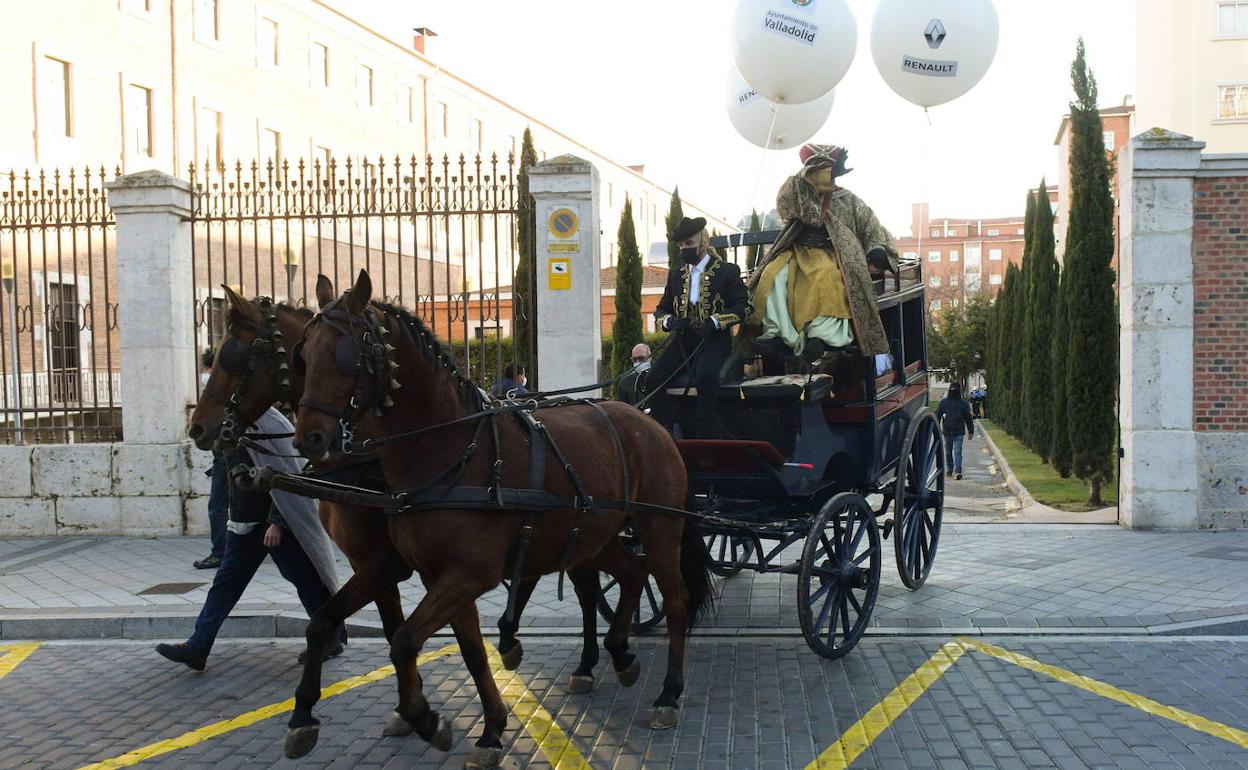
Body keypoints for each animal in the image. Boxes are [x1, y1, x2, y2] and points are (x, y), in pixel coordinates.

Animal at [187, 287, 653, 683]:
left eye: (232, 356)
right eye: (303, 356)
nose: (198, 428)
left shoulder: (386, 560)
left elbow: (400, 625)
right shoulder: (379, 561)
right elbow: (392, 623)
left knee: (589, 583)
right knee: (585, 581)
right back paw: (569, 653)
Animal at [285, 272, 713, 768]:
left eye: (347, 355)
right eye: (303, 354)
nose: (309, 438)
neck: (449, 450)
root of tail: (645, 419)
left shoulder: (468, 573)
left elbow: (404, 641)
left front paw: (425, 717)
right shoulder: (434, 574)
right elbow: (467, 649)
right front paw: (490, 728)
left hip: (660, 528)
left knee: (676, 599)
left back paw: (668, 692)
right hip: (596, 534)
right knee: (629, 574)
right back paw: (619, 653)